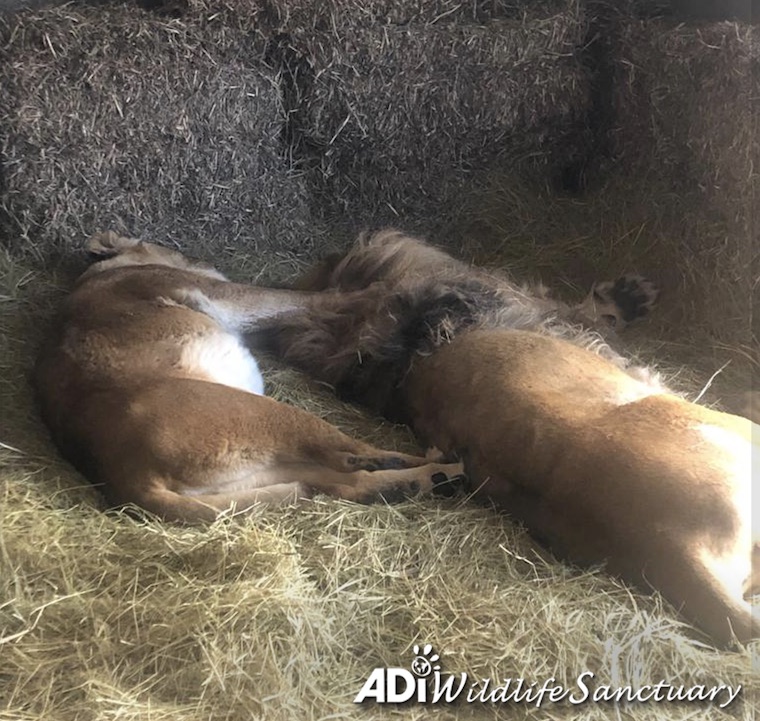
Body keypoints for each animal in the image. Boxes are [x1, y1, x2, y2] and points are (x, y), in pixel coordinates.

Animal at [33, 232, 464, 523]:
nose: (193, 254)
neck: (103, 273)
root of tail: (125, 478)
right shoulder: (226, 296)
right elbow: (308, 300)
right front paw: (384, 292)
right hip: (273, 417)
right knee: (356, 457)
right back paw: (441, 465)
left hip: (267, 469)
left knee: (346, 481)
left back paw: (429, 480)